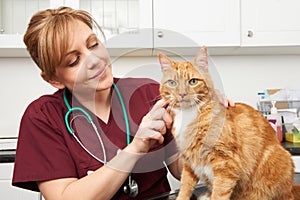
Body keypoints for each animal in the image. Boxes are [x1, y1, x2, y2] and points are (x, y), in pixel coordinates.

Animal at [158, 47, 298, 200]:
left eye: (193, 81)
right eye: (172, 83)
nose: (182, 94)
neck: (189, 115)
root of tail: (292, 189)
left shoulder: (225, 163)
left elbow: (219, 193)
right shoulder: (190, 161)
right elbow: (185, 186)